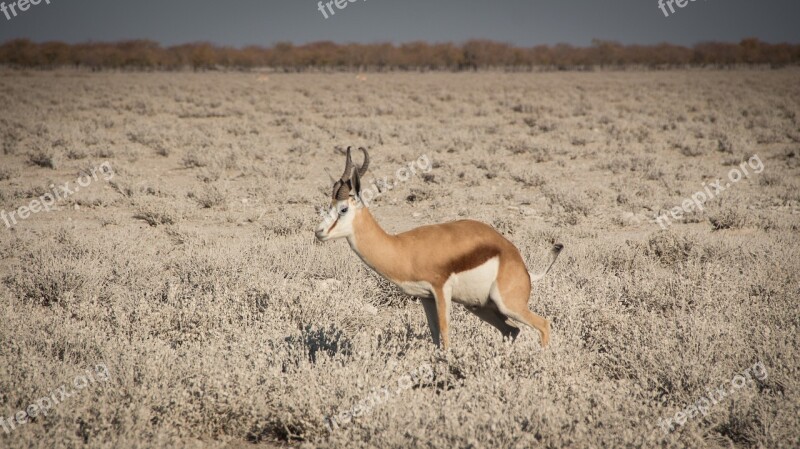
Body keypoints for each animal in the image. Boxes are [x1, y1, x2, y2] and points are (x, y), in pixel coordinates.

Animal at [312, 148, 564, 350]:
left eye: (343, 209)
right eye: (329, 206)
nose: (319, 232)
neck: (403, 249)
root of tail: (523, 268)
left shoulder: (441, 290)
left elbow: (445, 331)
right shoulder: (426, 297)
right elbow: (433, 333)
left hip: (508, 304)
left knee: (543, 324)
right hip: (480, 307)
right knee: (512, 330)